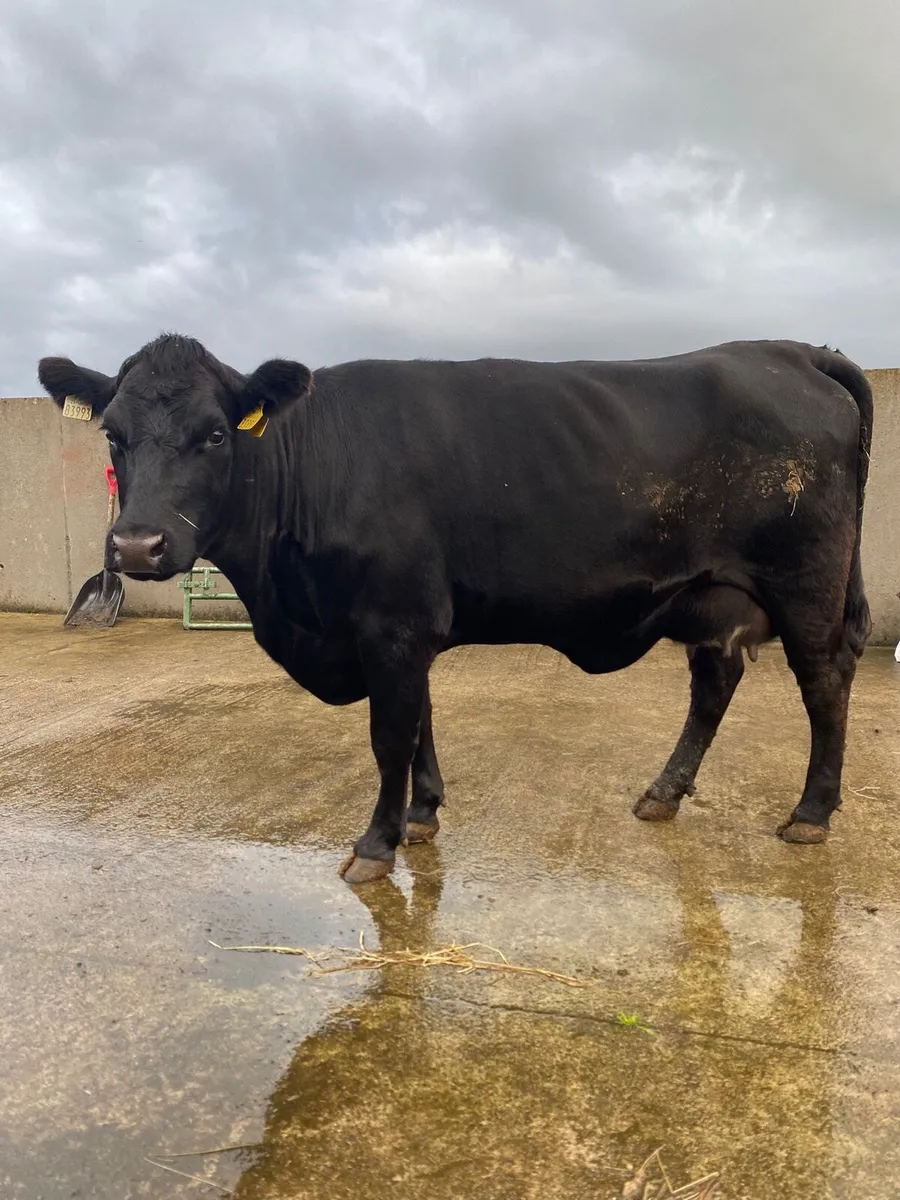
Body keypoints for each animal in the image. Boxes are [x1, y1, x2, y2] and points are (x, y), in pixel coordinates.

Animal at [38, 336, 873, 884]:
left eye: (215, 434)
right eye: (113, 434)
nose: (137, 545)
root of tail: (790, 349)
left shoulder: (392, 623)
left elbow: (388, 735)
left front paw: (376, 844)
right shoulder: (404, 627)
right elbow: (421, 723)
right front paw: (423, 813)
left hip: (806, 585)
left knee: (826, 684)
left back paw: (811, 813)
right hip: (711, 598)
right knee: (715, 685)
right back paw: (662, 793)